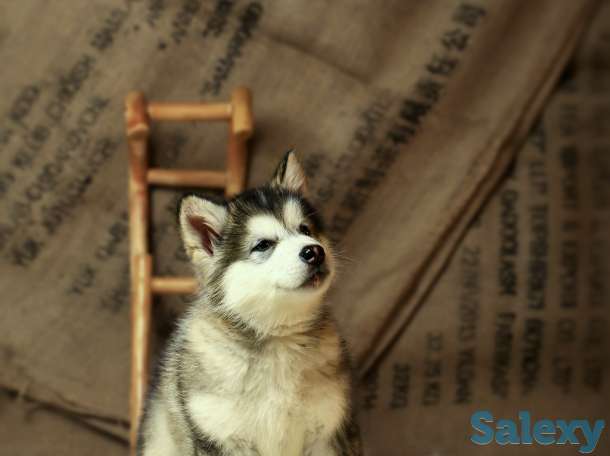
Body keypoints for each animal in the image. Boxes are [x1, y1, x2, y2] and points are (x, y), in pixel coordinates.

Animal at [135, 152, 358, 456]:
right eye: (263, 245)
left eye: (305, 229)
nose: (315, 251)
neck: (278, 340)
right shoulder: (219, 436)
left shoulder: (329, 432)